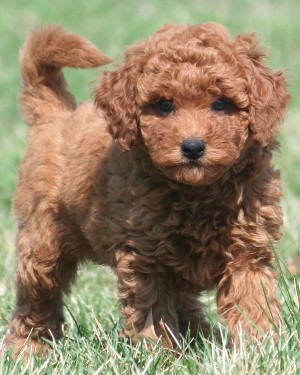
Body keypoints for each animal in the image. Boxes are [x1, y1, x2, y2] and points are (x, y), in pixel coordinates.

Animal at [5, 22, 290, 354]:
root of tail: (57, 113)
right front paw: (162, 355)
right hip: (42, 238)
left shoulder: (247, 249)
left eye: (221, 103)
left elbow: (252, 300)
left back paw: (205, 337)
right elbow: (155, 313)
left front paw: (261, 347)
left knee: (186, 302)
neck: (197, 193)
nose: (193, 147)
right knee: (37, 293)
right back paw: (28, 347)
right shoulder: (145, 256)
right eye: (164, 105)